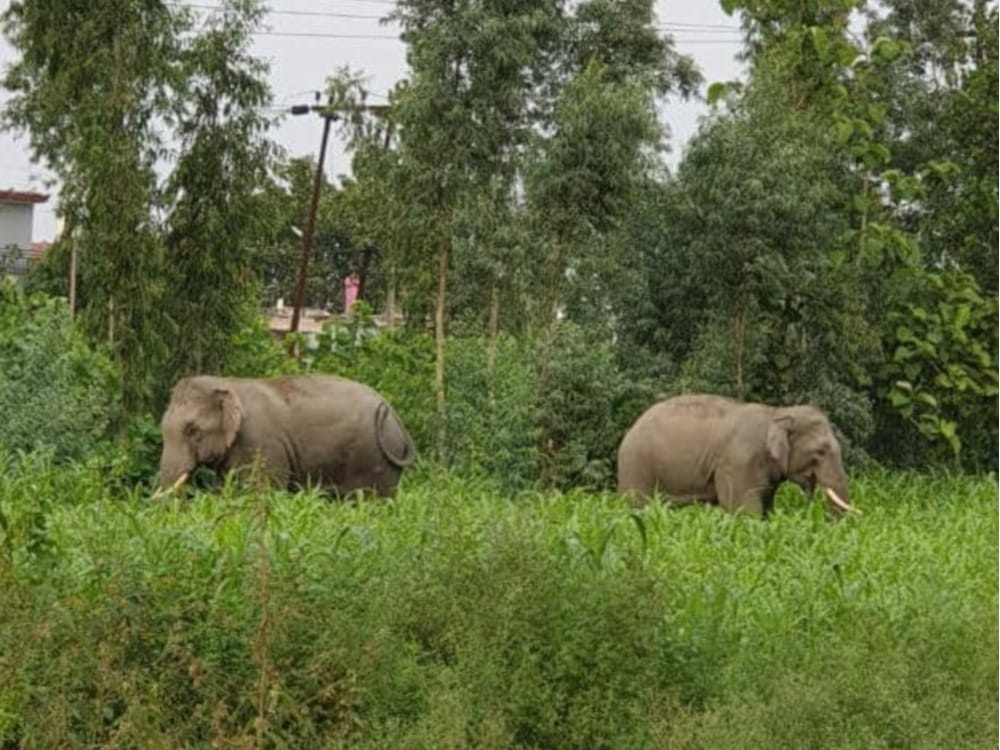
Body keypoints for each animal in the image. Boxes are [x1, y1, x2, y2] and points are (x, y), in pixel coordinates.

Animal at [157, 374, 416, 498]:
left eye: (193, 431)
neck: (227, 383)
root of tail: (394, 414)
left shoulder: (260, 445)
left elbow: (264, 492)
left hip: (374, 458)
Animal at [616, 394, 856, 517]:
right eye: (821, 451)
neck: (776, 413)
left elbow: (766, 507)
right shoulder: (738, 463)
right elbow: (743, 509)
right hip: (636, 465)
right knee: (638, 505)